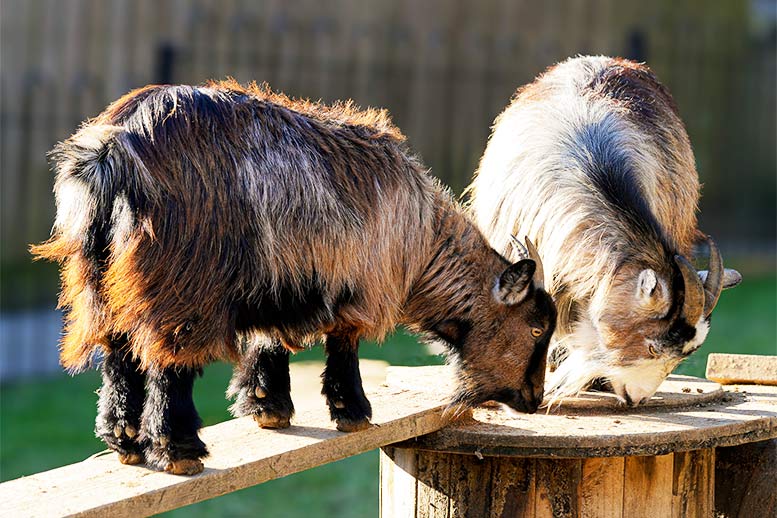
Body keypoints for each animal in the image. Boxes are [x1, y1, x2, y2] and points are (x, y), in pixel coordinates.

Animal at [33, 80, 556, 476]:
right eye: (536, 327)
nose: (534, 399)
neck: (422, 239)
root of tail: (112, 149)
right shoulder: (359, 287)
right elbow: (344, 346)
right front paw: (353, 412)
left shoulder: (280, 281)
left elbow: (268, 339)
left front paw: (268, 405)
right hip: (182, 285)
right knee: (169, 361)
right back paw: (178, 449)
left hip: (99, 280)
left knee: (117, 350)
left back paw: (123, 439)